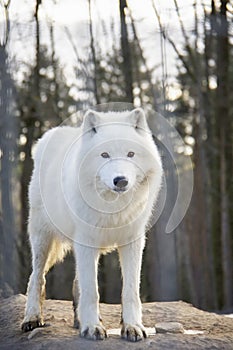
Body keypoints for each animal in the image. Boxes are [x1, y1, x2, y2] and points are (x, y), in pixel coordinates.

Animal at [22, 107, 164, 342]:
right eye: (104, 155)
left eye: (130, 154)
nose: (121, 180)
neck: (113, 208)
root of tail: (52, 134)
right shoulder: (86, 242)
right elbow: (92, 291)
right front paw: (92, 327)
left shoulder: (132, 242)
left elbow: (130, 291)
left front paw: (132, 326)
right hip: (42, 239)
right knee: (36, 278)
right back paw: (32, 319)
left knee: (75, 282)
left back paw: (78, 320)